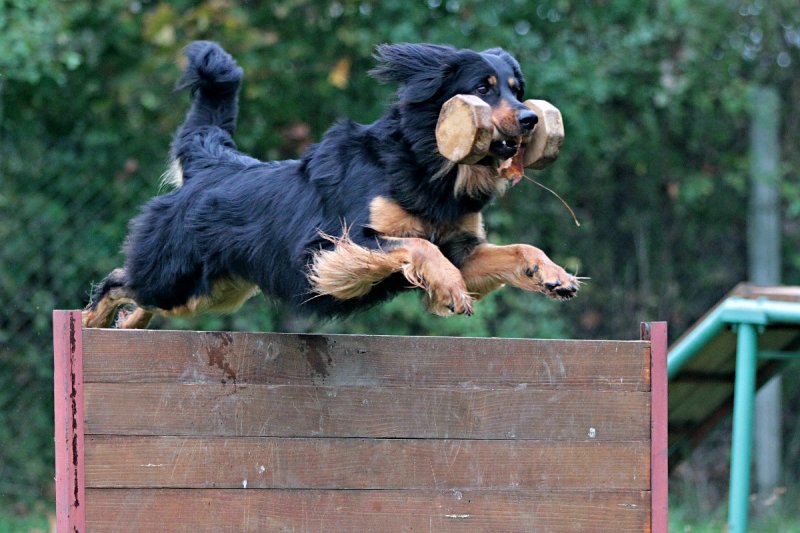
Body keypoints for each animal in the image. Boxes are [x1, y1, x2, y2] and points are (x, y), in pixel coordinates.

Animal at [81, 42, 580, 328]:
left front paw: (551, 274)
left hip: (212, 293)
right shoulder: (331, 244)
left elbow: (517, 249)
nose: (531, 119)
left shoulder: (464, 248)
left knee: (141, 298)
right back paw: (89, 324)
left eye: (517, 89)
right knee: (119, 282)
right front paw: (450, 287)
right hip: (175, 275)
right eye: (484, 87)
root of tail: (211, 163)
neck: (427, 166)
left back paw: (126, 325)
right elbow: (419, 246)